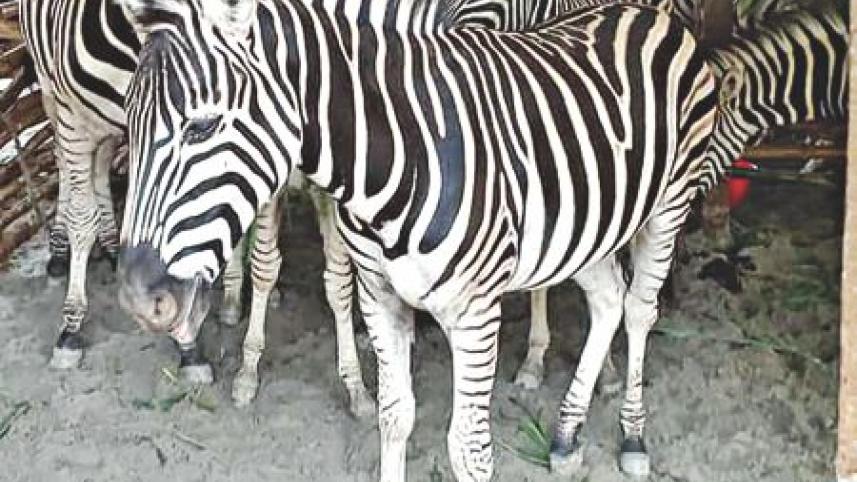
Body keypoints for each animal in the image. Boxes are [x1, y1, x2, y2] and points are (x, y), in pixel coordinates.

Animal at [115, 0, 718, 479]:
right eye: (129, 124)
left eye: (201, 127)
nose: (139, 300)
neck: (394, 163)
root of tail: (646, 13)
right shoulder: (379, 298)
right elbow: (394, 415)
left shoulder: (476, 316)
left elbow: (468, 450)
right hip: (584, 230)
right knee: (608, 299)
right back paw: (568, 435)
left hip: (669, 205)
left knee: (638, 310)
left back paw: (632, 437)